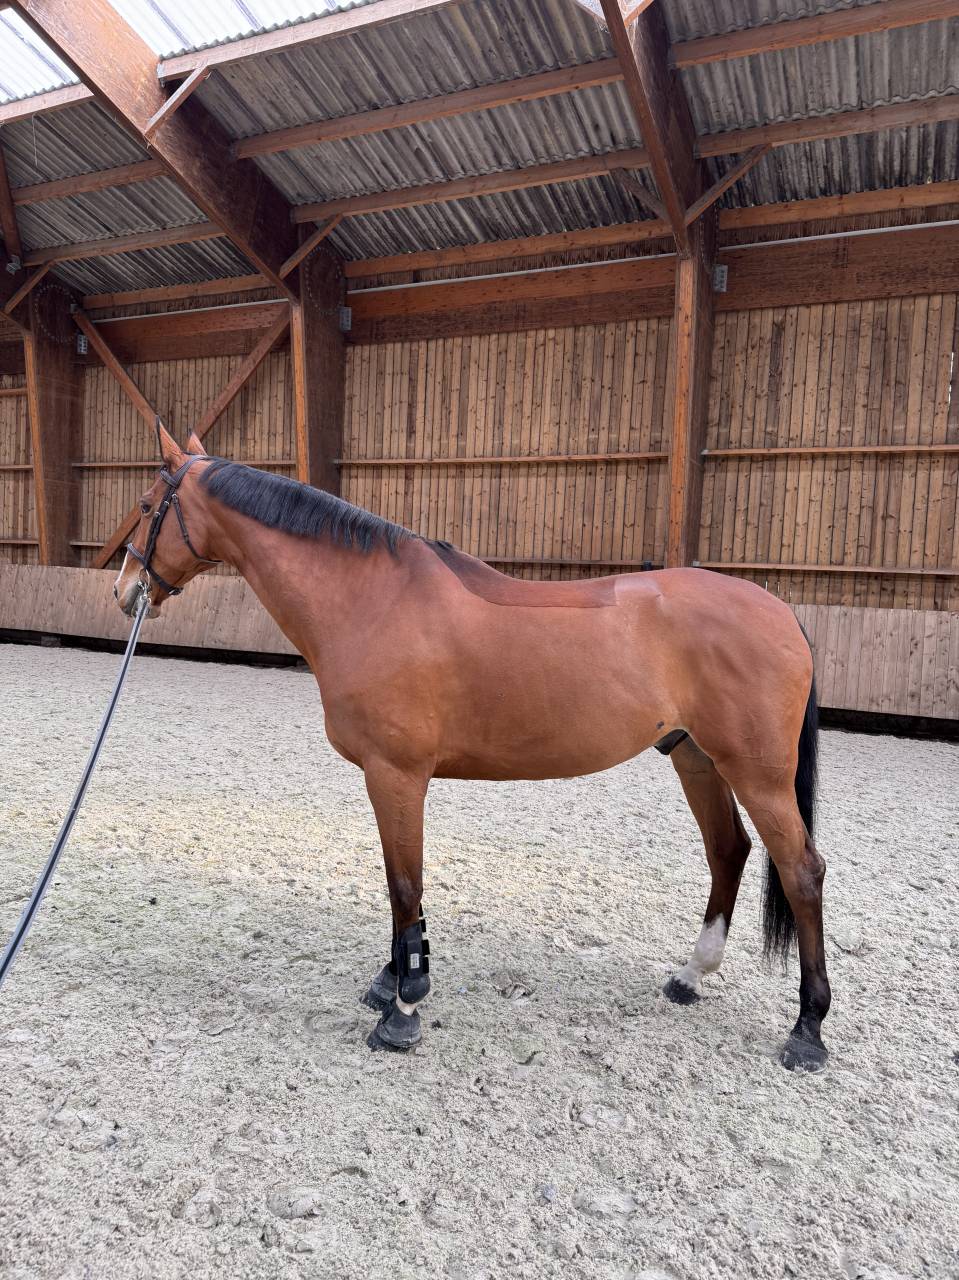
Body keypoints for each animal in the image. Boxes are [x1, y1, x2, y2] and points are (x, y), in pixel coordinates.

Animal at [113, 424, 831, 1071]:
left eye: (147, 507)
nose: (123, 592)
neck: (372, 601)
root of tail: (783, 613)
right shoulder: (390, 779)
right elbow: (398, 884)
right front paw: (389, 982)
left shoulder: (396, 774)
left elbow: (404, 884)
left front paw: (403, 1009)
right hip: (694, 758)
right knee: (728, 851)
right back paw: (691, 975)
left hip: (755, 774)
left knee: (801, 872)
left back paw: (807, 1030)